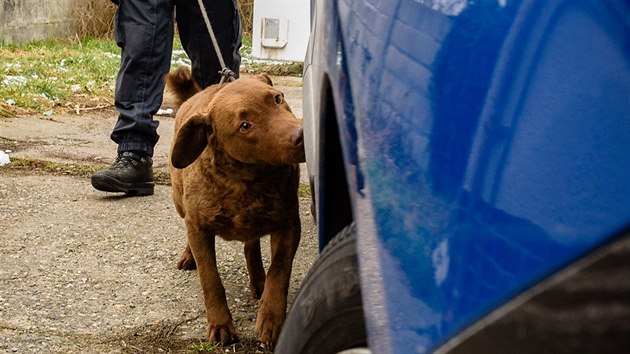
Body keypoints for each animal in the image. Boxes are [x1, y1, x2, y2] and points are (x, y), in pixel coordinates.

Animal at [167, 68, 304, 348]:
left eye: (277, 98)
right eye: (245, 126)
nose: (301, 136)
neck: (245, 180)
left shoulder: (288, 225)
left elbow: (279, 272)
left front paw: (271, 320)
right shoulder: (199, 229)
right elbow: (211, 280)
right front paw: (220, 324)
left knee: (251, 245)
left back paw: (258, 279)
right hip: (180, 202)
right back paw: (188, 255)